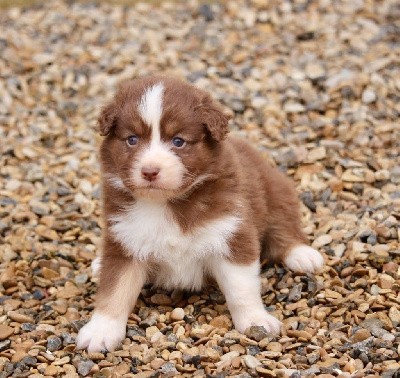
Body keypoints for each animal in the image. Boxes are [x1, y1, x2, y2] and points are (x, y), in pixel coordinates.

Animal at [76, 75, 324, 352]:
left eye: (178, 141)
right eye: (132, 139)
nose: (150, 171)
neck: (167, 204)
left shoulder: (231, 232)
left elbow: (241, 287)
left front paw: (255, 321)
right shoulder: (124, 240)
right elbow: (115, 290)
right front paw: (101, 331)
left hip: (275, 190)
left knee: (283, 224)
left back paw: (302, 254)